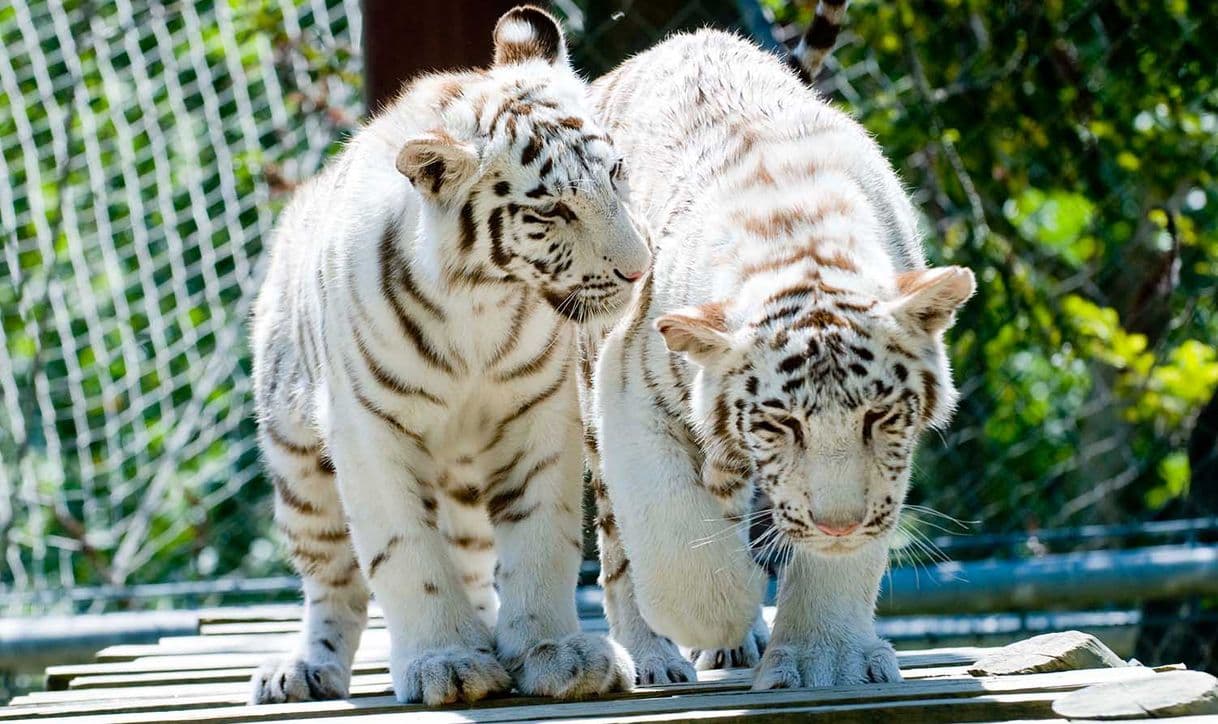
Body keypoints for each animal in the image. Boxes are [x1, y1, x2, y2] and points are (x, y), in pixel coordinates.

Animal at [246, 5, 647, 706]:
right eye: (552, 209)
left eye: (616, 173)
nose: (639, 269)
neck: (479, 306)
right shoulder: (365, 430)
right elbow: (406, 552)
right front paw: (447, 661)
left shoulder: (538, 413)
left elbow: (539, 535)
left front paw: (553, 652)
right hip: (298, 461)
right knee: (330, 578)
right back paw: (303, 668)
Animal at [584, 23, 974, 687]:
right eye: (781, 423)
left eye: (877, 416)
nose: (838, 524)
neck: (799, 237)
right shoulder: (628, 386)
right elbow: (669, 534)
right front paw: (724, 608)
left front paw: (827, 659)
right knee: (620, 546)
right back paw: (654, 658)